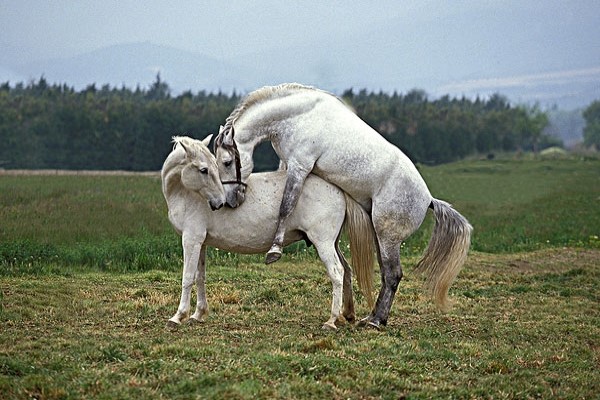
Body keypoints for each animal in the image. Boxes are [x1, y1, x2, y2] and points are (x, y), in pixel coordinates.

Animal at [159, 136, 376, 330]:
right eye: (204, 169)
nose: (220, 202)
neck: (186, 193)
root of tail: (339, 189)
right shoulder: (201, 243)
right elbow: (199, 277)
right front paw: (198, 314)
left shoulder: (191, 240)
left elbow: (187, 278)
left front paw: (178, 317)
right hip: (332, 243)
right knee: (346, 270)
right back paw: (346, 315)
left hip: (323, 243)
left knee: (337, 272)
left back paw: (331, 321)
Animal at [213, 83, 472, 330]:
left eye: (226, 162)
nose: (229, 201)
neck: (298, 115)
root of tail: (428, 200)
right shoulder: (287, 164)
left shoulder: (299, 166)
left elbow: (286, 205)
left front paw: (274, 250)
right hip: (381, 238)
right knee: (386, 274)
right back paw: (371, 317)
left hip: (388, 237)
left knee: (393, 275)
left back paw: (376, 321)